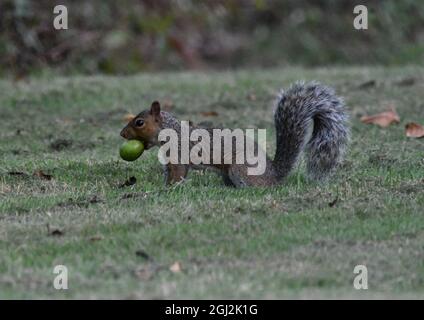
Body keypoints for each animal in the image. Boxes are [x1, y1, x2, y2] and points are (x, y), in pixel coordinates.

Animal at [120, 81, 352, 188]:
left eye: (139, 122)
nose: (122, 134)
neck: (171, 132)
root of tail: (274, 174)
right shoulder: (169, 162)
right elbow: (169, 174)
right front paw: (164, 187)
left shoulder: (178, 157)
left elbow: (178, 174)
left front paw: (171, 188)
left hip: (239, 169)